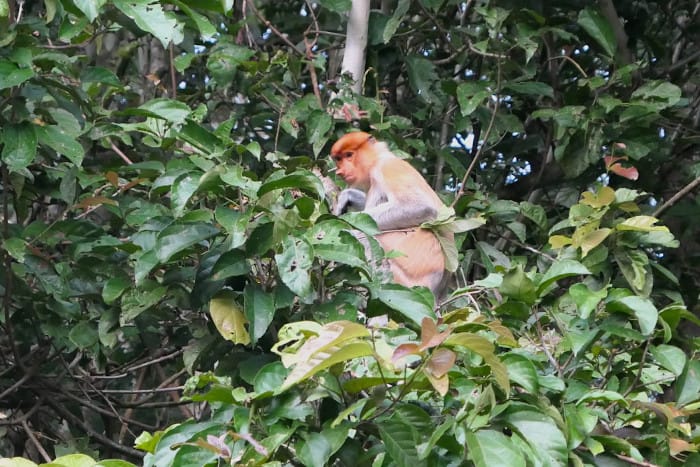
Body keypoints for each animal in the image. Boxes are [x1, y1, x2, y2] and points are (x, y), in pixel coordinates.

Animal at [330, 132, 448, 294]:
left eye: (349, 155)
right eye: (338, 159)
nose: (340, 172)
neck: (378, 158)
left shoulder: (387, 168)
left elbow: (421, 206)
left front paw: (345, 223)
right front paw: (346, 197)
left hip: (400, 280)